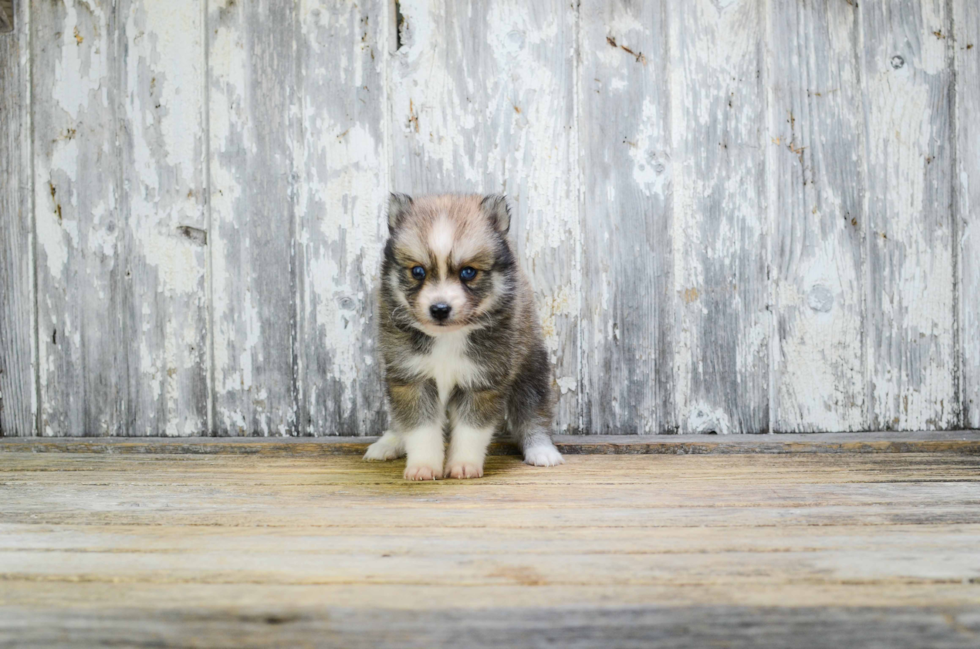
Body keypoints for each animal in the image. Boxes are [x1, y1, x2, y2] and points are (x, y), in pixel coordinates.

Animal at [366, 191, 568, 476]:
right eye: (418, 271)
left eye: (468, 272)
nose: (440, 309)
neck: (448, 337)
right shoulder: (411, 377)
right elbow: (419, 427)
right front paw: (423, 466)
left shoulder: (483, 379)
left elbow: (471, 429)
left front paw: (463, 465)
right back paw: (389, 442)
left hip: (530, 367)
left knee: (532, 411)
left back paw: (542, 449)